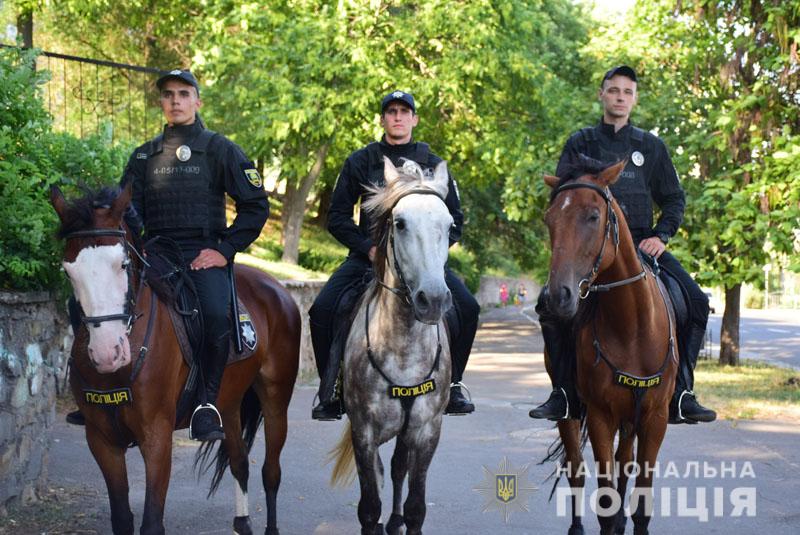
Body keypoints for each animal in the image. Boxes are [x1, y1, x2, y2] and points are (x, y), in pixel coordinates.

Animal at [50, 184, 300, 535]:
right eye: (69, 270)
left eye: (122, 264)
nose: (107, 352)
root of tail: (277, 289)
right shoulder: (102, 440)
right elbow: (122, 518)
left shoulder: (156, 438)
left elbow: (152, 522)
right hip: (229, 404)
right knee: (239, 462)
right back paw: (242, 522)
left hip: (276, 400)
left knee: (271, 471)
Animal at [330, 157, 454, 532]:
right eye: (399, 224)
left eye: (450, 225)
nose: (433, 300)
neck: (403, 349)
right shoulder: (364, 432)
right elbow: (369, 507)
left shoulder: (428, 430)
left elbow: (416, 506)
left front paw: (404, 518)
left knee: (399, 467)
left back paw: (395, 519)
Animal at [540, 161, 680, 535]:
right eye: (549, 219)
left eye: (592, 216)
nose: (557, 296)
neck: (632, 327)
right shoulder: (601, 415)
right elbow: (604, 500)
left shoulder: (655, 418)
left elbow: (640, 500)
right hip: (573, 412)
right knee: (575, 467)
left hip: (631, 419)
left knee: (624, 462)